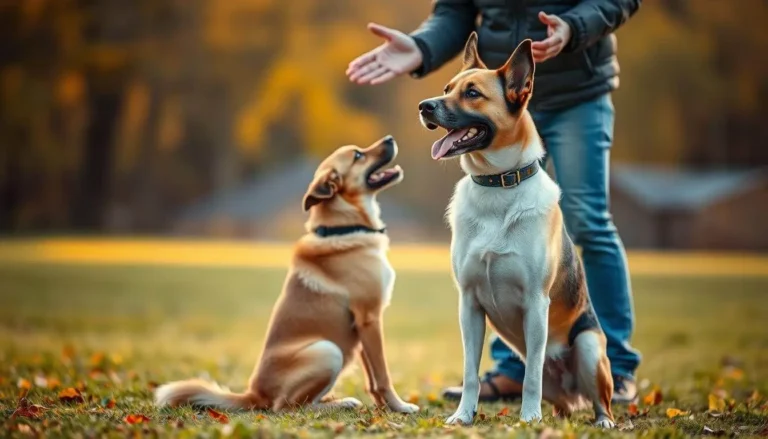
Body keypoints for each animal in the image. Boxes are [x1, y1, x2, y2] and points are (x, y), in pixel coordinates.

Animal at [157, 136, 420, 414]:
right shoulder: (370, 318)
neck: (344, 227)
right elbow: (382, 375)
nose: (390, 138)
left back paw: (334, 400)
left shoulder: (361, 328)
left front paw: (385, 407)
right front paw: (400, 407)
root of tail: (255, 395)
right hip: (328, 351)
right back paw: (339, 404)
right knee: (288, 406)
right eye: (358, 155)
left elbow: (372, 379)